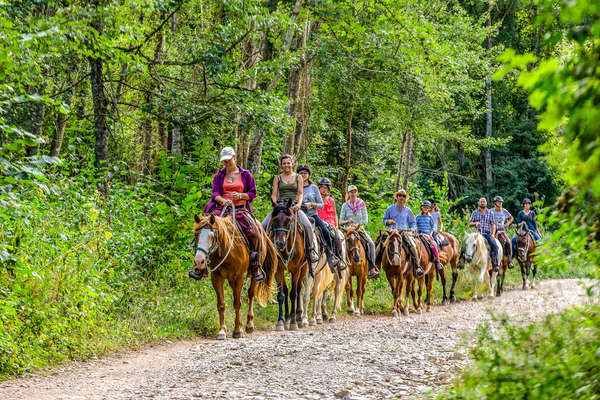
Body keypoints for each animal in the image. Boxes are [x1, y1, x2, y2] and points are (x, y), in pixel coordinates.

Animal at [270, 200, 312, 332]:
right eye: (274, 220)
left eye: (288, 220)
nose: (280, 243)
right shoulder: (278, 270)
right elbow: (281, 294)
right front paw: (281, 322)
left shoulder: (296, 269)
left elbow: (294, 294)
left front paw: (294, 323)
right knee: (286, 290)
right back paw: (287, 319)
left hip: (304, 268)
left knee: (298, 289)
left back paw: (298, 317)